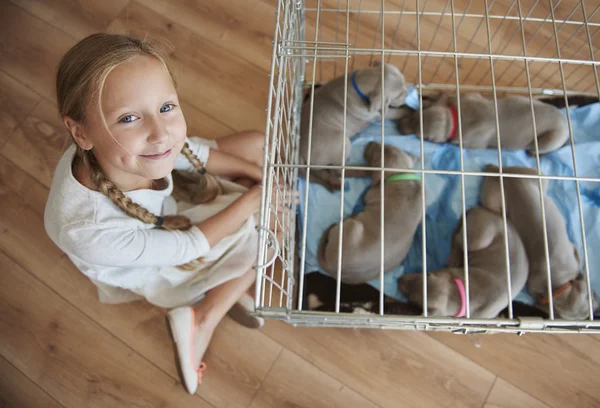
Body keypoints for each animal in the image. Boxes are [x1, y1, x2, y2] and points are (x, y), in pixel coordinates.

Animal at [318, 143, 422, 284]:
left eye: (374, 155)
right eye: (384, 144)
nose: (369, 142)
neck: (401, 173)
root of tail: (331, 267)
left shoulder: (370, 194)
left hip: (352, 226)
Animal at [396, 92, 568, 155]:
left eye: (420, 136)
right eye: (417, 113)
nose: (398, 124)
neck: (454, 118)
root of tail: (565, 121)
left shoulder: (471, 143)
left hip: (551, 139)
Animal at [398, 207, 528, 318]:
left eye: (412, 301)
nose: (398, 280)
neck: (462, 294)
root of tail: (480, 208)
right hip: (479, 238)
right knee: (459, 238)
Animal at [478, 165, 600, 318]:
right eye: (592, 295)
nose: (598, 306)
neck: (559, 284)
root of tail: (500, 172)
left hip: (532, 175)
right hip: (493, 201)